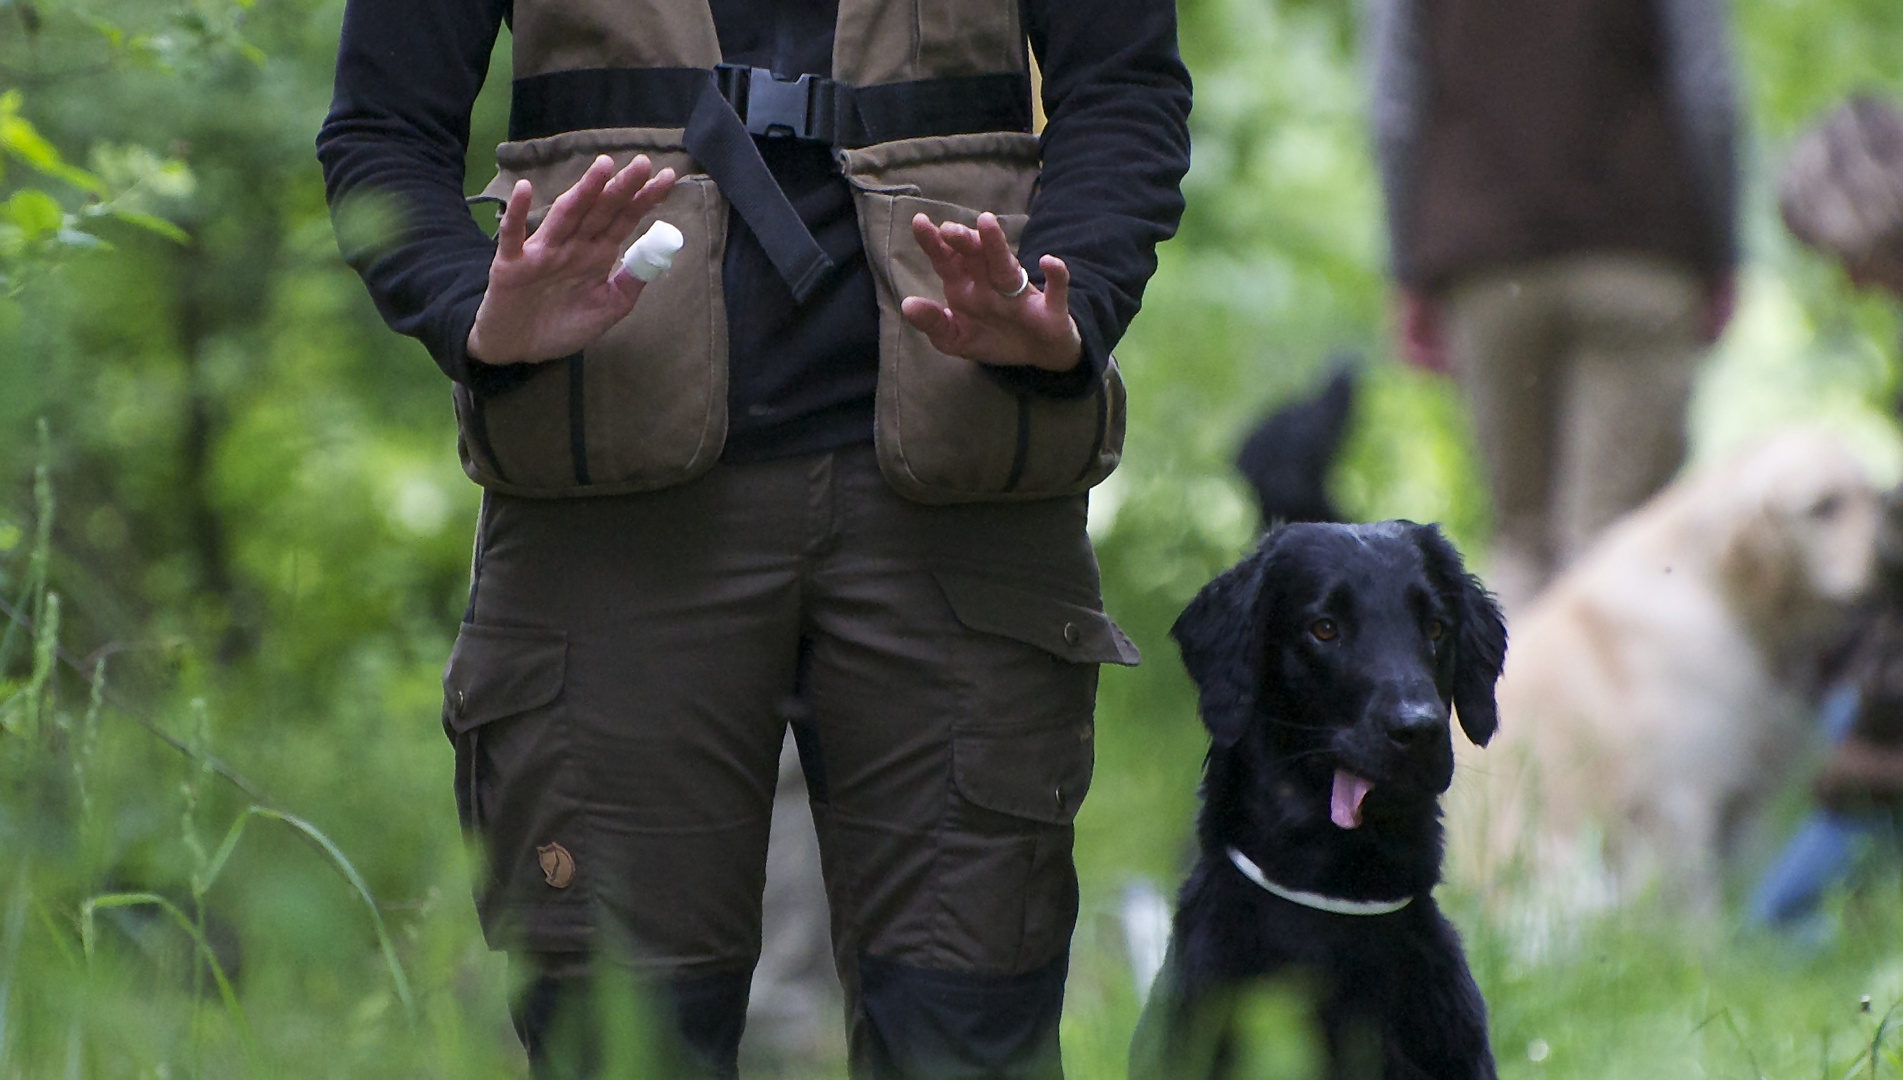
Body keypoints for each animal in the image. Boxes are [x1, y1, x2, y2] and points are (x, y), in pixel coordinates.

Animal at [1453, 427, 1872, 912]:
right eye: (1824, 506)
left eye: (1876, 496)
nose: (1890, 559)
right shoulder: (1682, 797)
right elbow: (1694, 906)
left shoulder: (1745, 803)